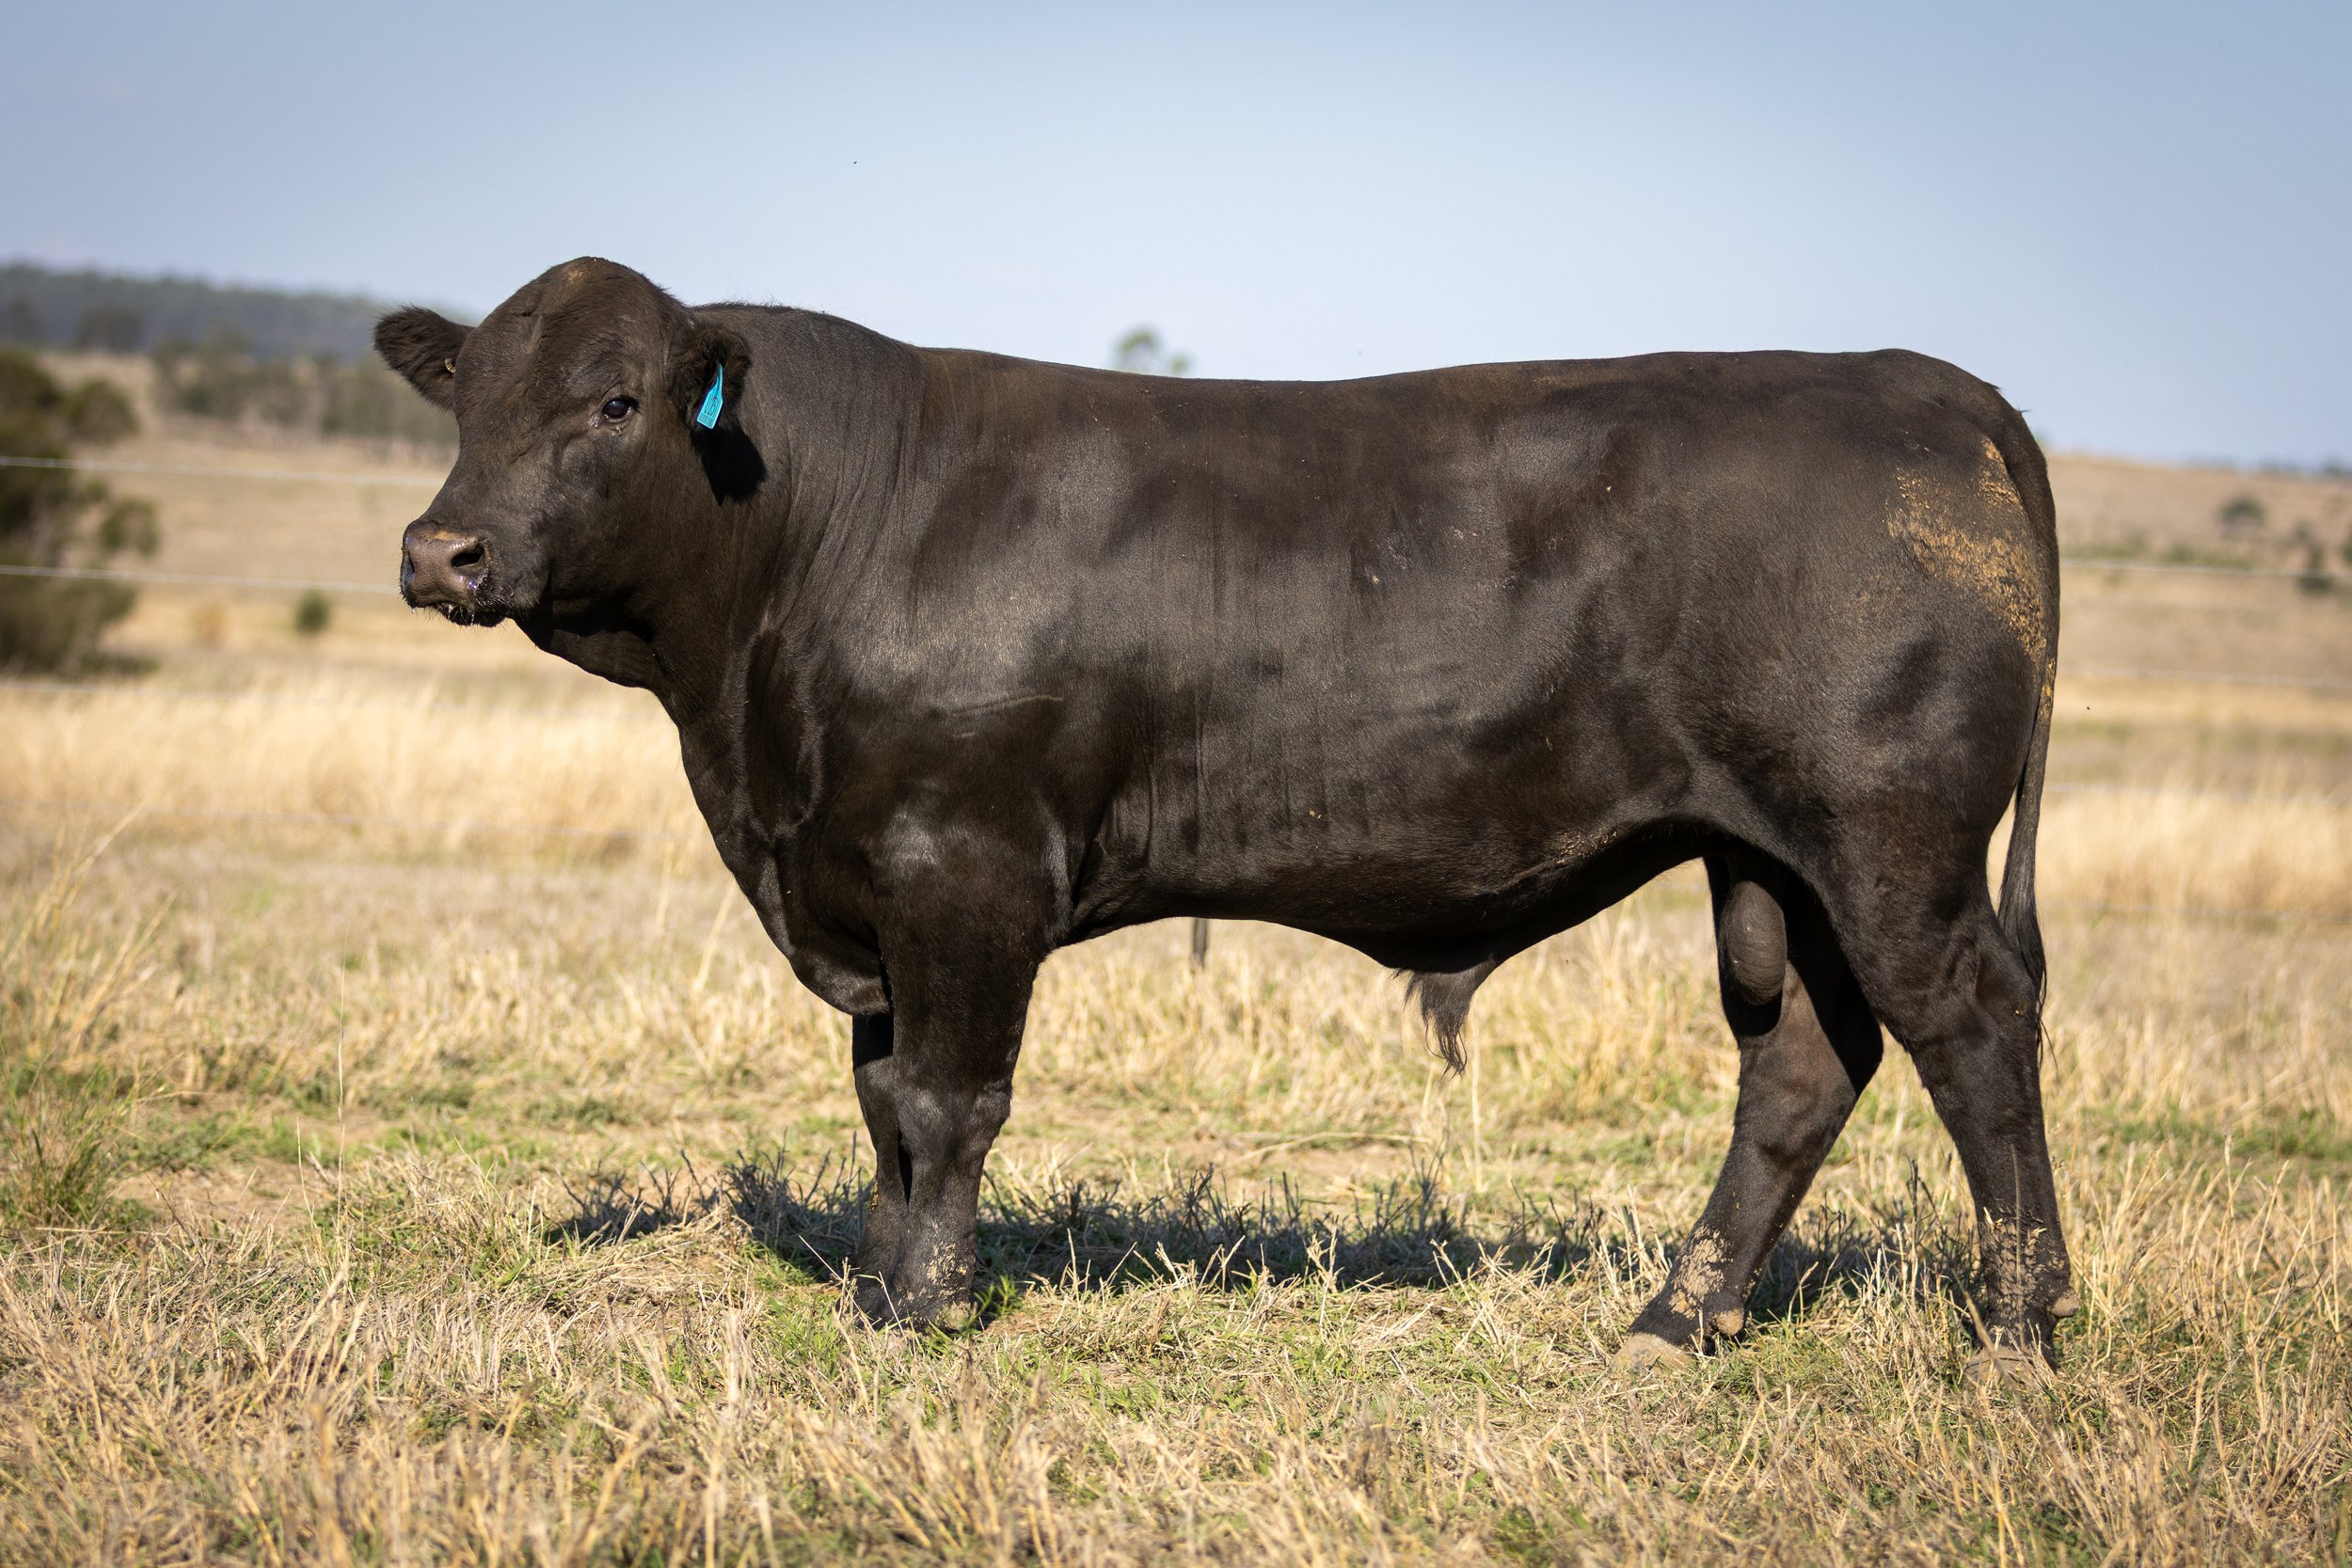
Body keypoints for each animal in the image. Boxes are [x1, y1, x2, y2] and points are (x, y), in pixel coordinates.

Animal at [377, 257, 2072, 1373]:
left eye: (614, 400)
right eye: (467, 399)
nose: (442, 550)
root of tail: (1912, 376)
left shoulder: (966, 869)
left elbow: (947, 1101)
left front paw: (927, 1310)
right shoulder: (863, 881)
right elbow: (879, 1101)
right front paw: (873, 1287)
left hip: (1893, 840)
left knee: (1975, 1029)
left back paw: (2017, 1332)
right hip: (1770, 859)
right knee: (1801, 1063)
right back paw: (1675, 1321)